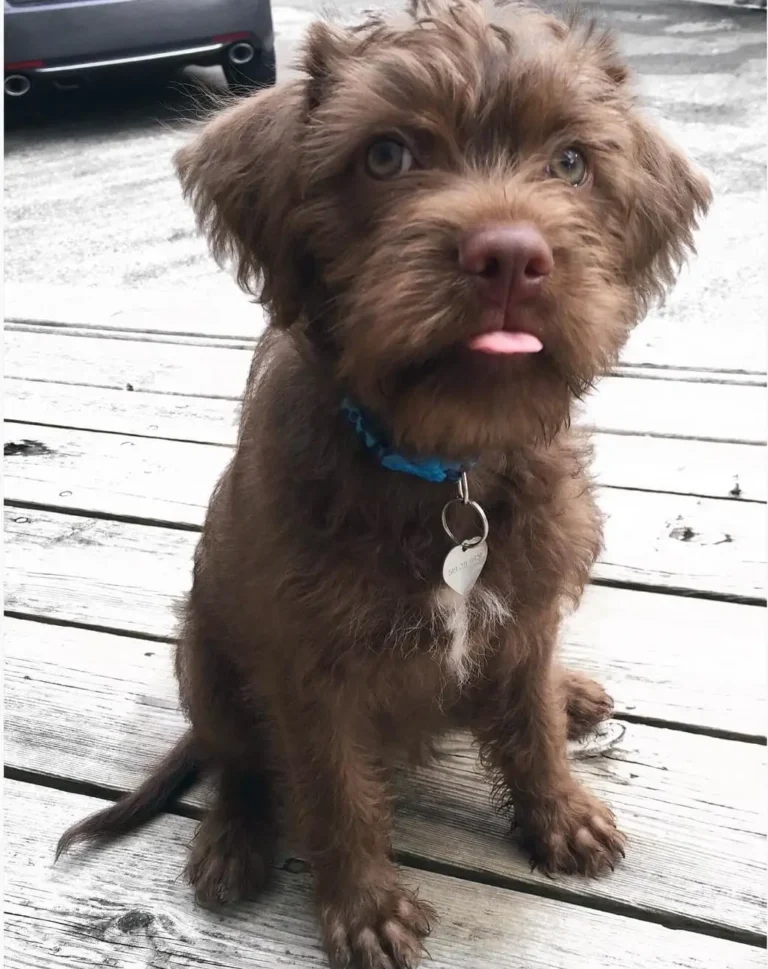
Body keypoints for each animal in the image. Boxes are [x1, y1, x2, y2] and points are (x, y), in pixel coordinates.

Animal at [58, 3, 708, 964]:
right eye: (387, 155)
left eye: (570, 163)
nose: (510, 256)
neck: (445, 464)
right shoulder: (307, 666)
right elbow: (335, 790)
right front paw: (363, 906)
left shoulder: (528, 604)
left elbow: (531, 726)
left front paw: (560, 812)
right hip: (205, 648)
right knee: (237, 753)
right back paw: (233, 838)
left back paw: (572, 692)